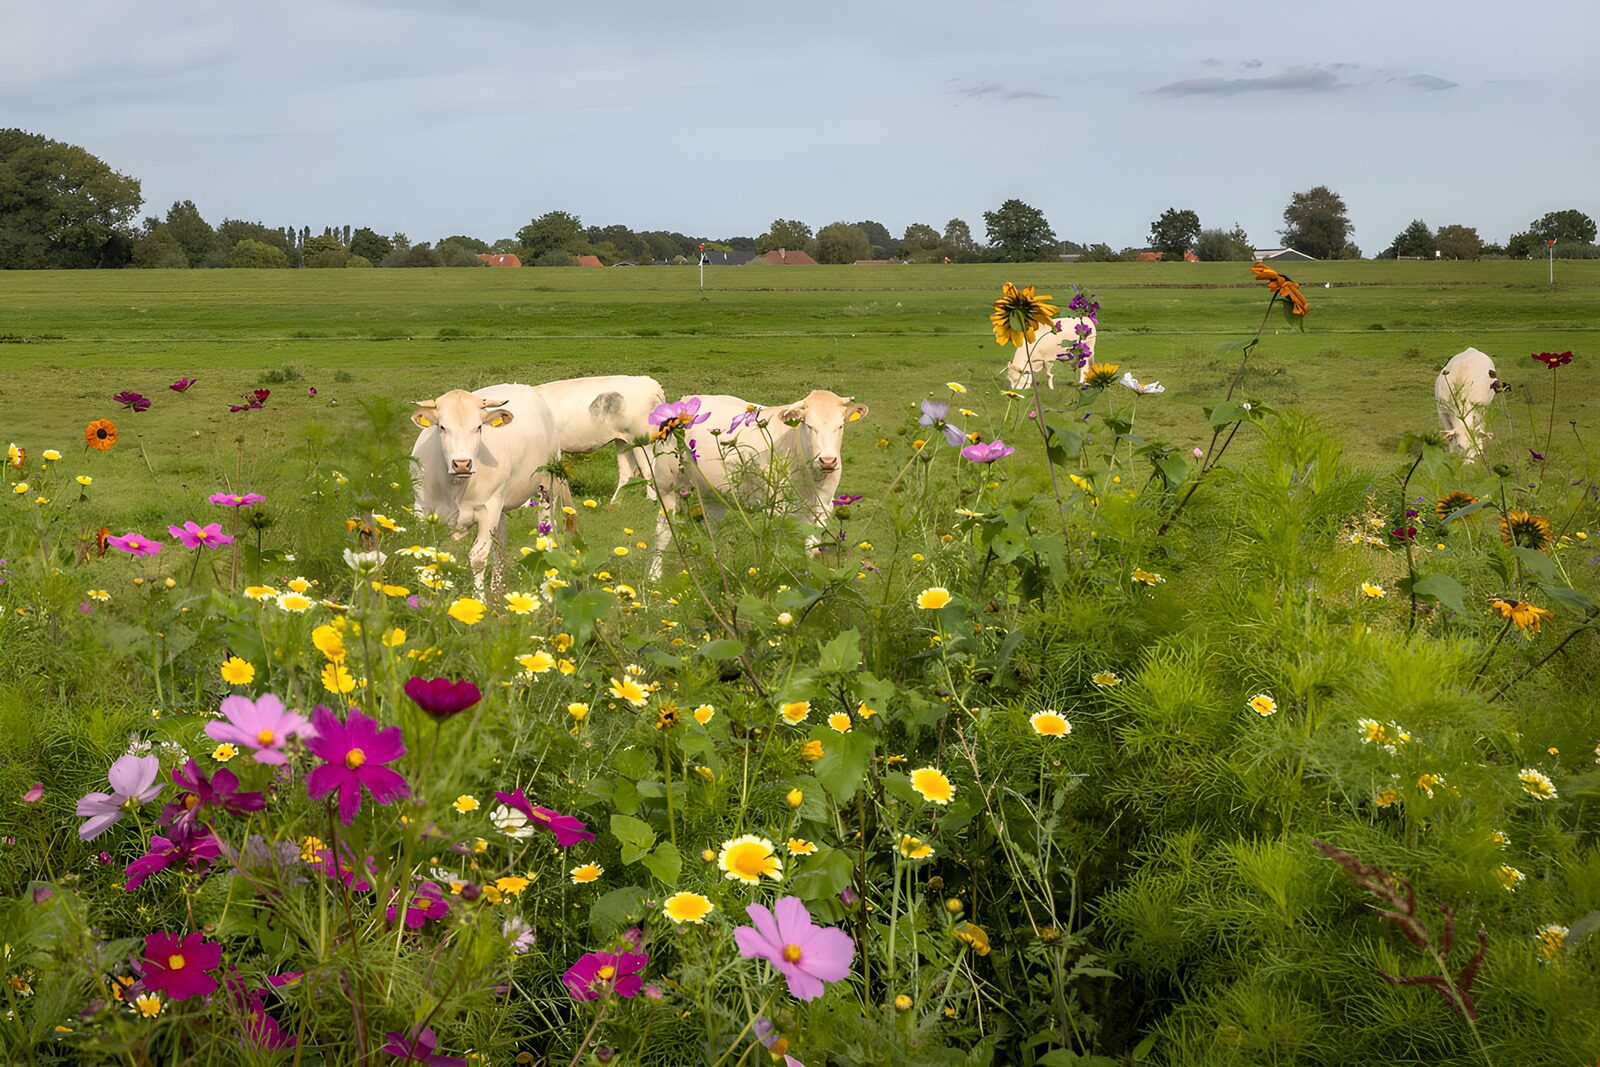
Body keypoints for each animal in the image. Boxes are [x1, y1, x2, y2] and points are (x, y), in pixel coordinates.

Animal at [410, 384, 561, 589]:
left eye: (478, 427)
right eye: (442, 427)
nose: (462, 463)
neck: (455, 486)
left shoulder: (488, 510)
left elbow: (478, 558)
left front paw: (478, 597)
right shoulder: (422, 508)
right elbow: (425, 551)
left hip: (548, 486)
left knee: (546, 535)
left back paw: (548, 584)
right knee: (500, 542)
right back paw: (497, 587)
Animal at [530, 375, 665, 502]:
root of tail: (650, 383)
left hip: (642, 441)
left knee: (648, 470)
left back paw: (650, 500)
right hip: (624, 441)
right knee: (627, 472)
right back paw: (613, 504)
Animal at [644, 389, 868, 579]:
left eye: (840, 426)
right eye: (809, 425)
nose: (828, 460)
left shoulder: (823, 507)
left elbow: (812, 550)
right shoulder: (777, 509)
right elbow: (778, 549)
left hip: (712, 496)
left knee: (711, 531)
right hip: (666, 485)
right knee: (664, 531)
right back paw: (654, 577)